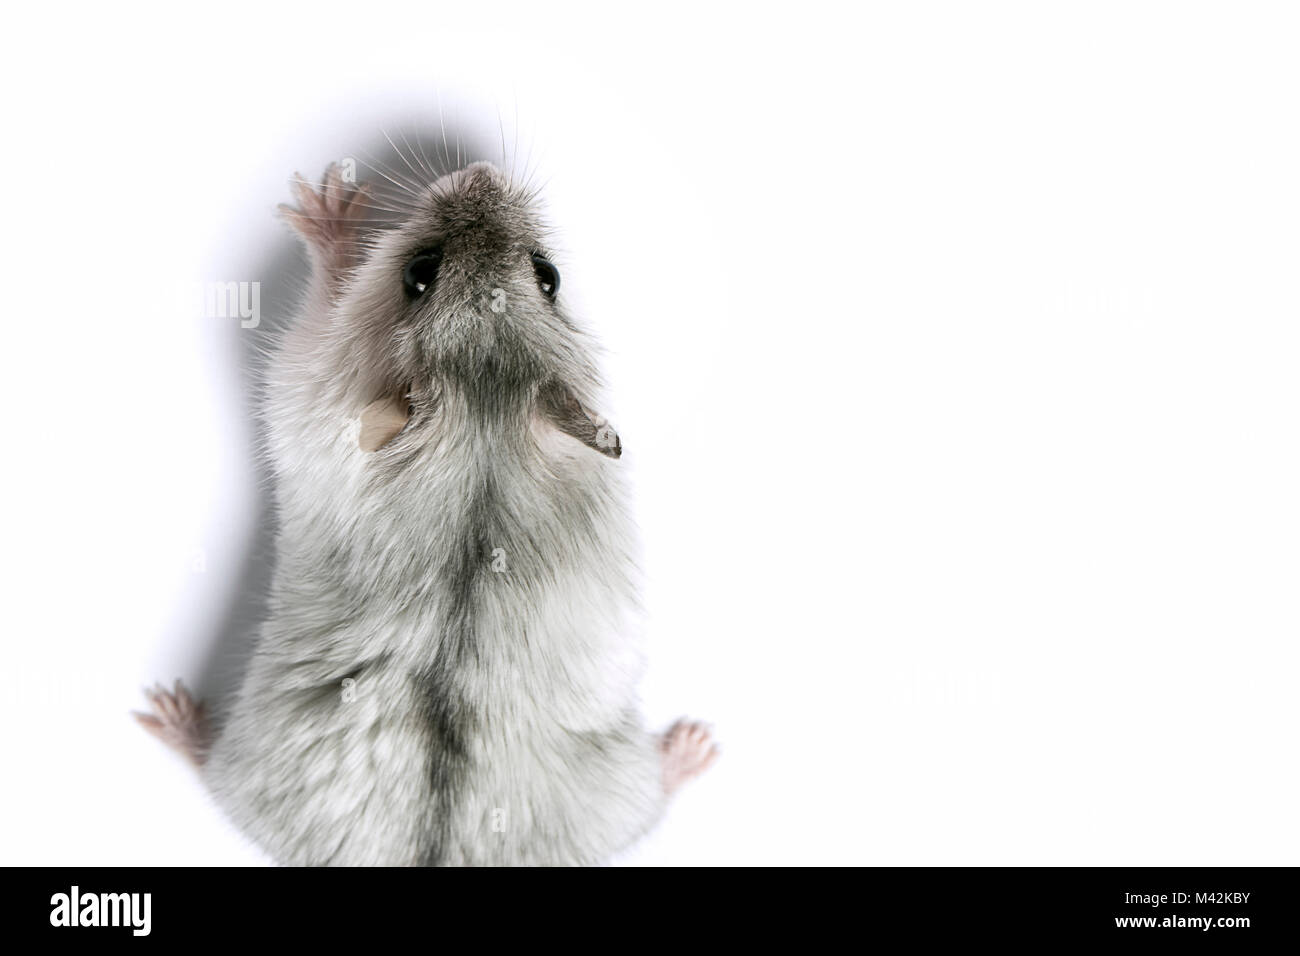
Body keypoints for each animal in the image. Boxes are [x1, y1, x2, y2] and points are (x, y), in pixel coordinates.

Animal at [136, 158, 717, 865]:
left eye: (547, 275)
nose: (484, 169)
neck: (480, 424)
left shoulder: (307, 388)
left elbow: (322, 306)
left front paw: (327, 204)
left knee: (205, 769)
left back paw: (170, 713)